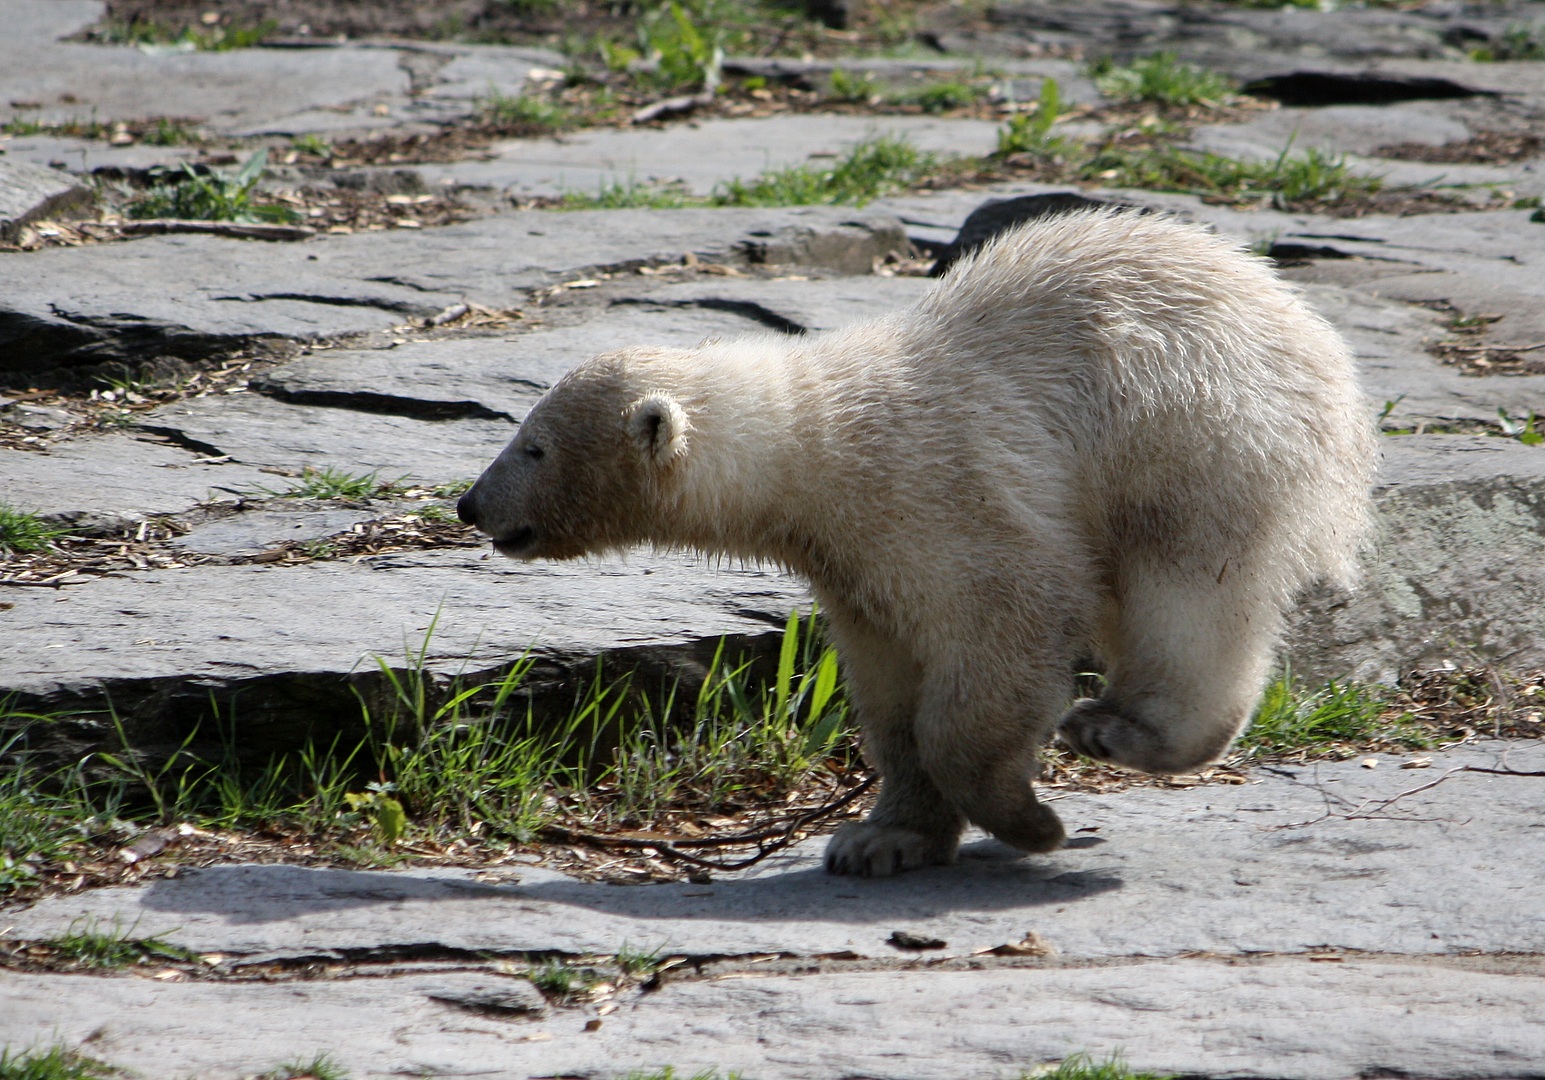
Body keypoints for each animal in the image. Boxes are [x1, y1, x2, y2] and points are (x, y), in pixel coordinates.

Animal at [457, 208, 1378, 877]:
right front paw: (881, 840)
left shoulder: (941, 492)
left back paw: (1124, 729)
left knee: (1190, 597)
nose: (470, 504)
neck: (821, 442)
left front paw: (1028, 820)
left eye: (533, 446)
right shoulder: (853, 568)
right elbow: (891, 697)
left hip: (1198, 437)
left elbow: (998, 638)